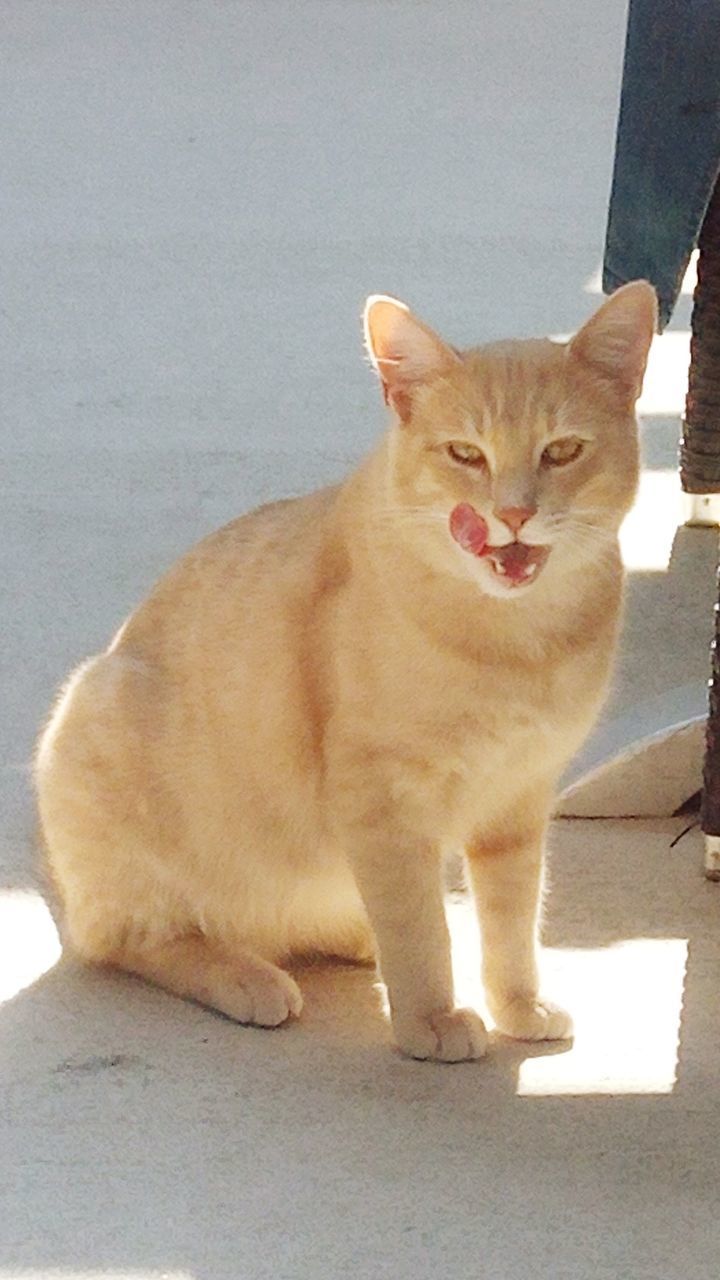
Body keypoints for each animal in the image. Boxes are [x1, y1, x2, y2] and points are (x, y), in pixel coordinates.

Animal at [33, 288, 653, 1059]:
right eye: (466, 454)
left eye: (562, 450)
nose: (512, 514)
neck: (517, 645)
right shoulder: (383, 802)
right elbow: (418, 930)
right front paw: (430, 1020)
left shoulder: (517, 804)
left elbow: (510, 925)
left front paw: (518, 1005)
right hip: (99, 724)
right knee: (133, 940)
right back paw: (248, 976)